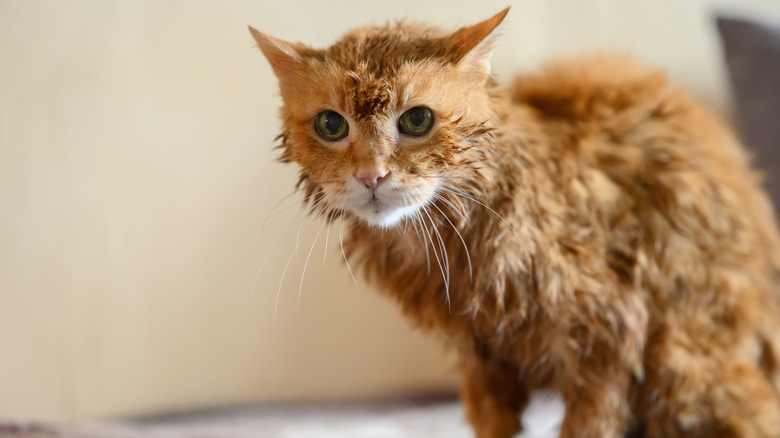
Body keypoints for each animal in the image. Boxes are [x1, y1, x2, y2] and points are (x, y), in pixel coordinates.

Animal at [247, 7, 780, 438]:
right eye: (331, 126)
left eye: (417, 121)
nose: (371, 175)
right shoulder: (480, 361)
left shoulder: (606, 342)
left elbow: (589, 425)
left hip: (683, 375)